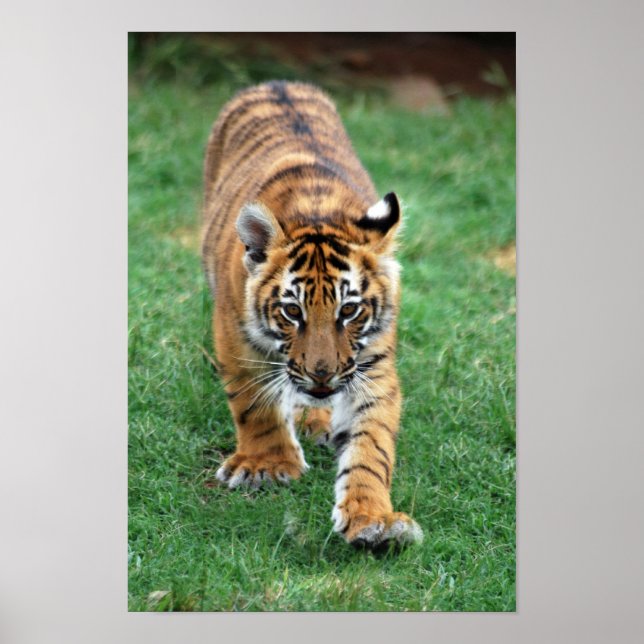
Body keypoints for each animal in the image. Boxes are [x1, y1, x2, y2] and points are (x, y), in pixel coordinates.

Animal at [201, 80, 422, 548]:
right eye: (292, 311)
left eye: (349, 310)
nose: (322, 375)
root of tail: (278, 82)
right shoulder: (235, 336)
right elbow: (254, 402)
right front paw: (266, 467)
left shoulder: (373, 365)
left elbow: (372, 447)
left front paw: (374, 519)